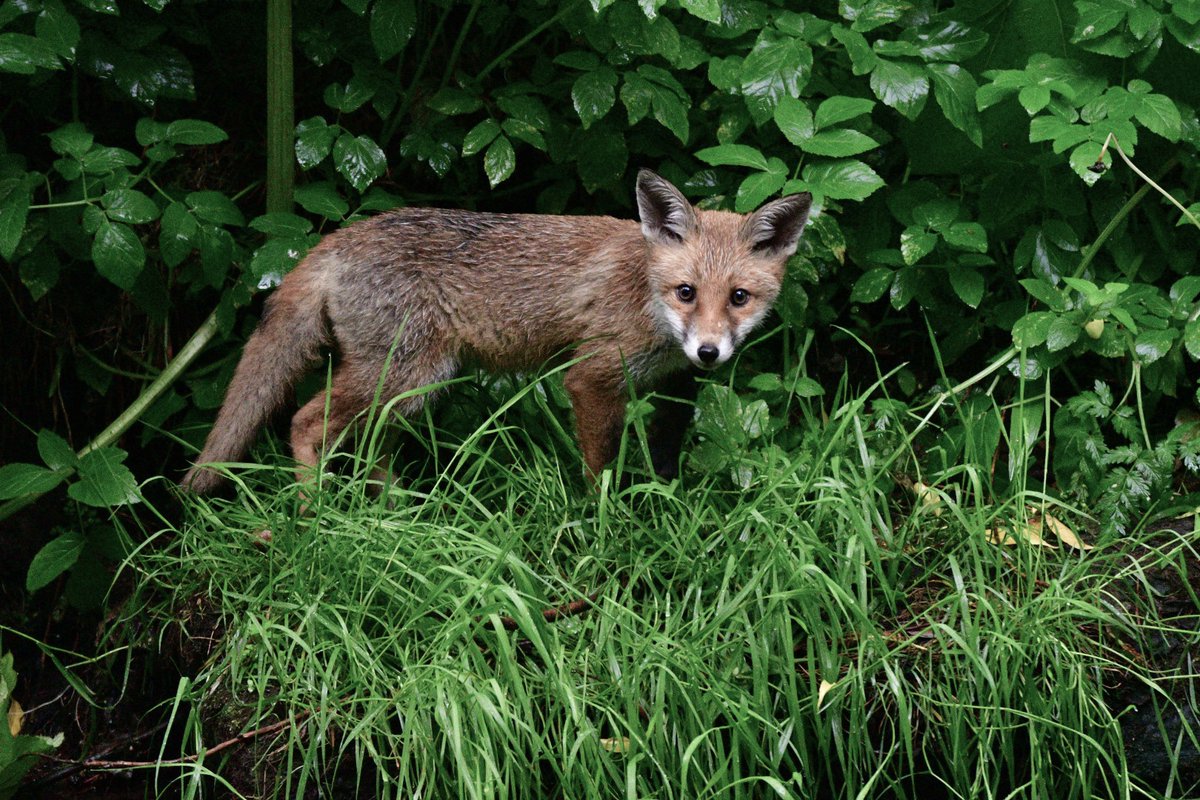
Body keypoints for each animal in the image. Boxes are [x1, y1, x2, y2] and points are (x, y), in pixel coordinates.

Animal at [180, 170, 812, 494]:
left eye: (738, 298)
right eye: (686, 292)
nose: (708, 352)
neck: (646, 300)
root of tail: (338, 237)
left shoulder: (672, 390)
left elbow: (661, 461)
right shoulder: (591, 380)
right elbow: (599, 473)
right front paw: (604, 530)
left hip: (408, 389)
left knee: (369, 443)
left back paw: (392, 513)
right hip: (407, 375)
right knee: (304, 421)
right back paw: (314, 519)